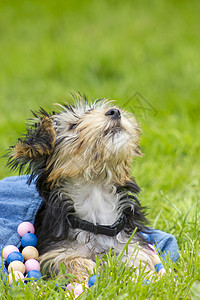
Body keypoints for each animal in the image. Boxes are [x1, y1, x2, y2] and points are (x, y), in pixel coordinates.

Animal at [7, 93, 164, 282]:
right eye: (73, 126)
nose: (114, 111)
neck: (96, 192)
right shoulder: (52, 251)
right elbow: (68, 260)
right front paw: (88, 274)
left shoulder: (131, 243)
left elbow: (139, 259)